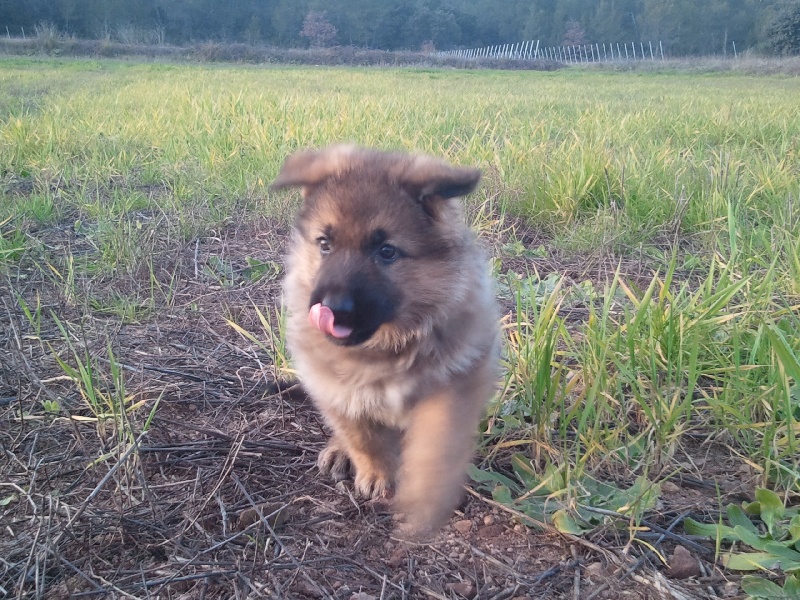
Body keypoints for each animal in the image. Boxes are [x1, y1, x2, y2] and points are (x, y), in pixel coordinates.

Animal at [273, 145, 499, 537]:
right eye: (325, 244)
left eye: (387, 251)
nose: (330, 308)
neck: (386, 347)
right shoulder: (333, 387)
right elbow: (361, 435)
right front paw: (376, 472)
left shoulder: (457, 381)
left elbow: (438, 441)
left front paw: (425, 496)